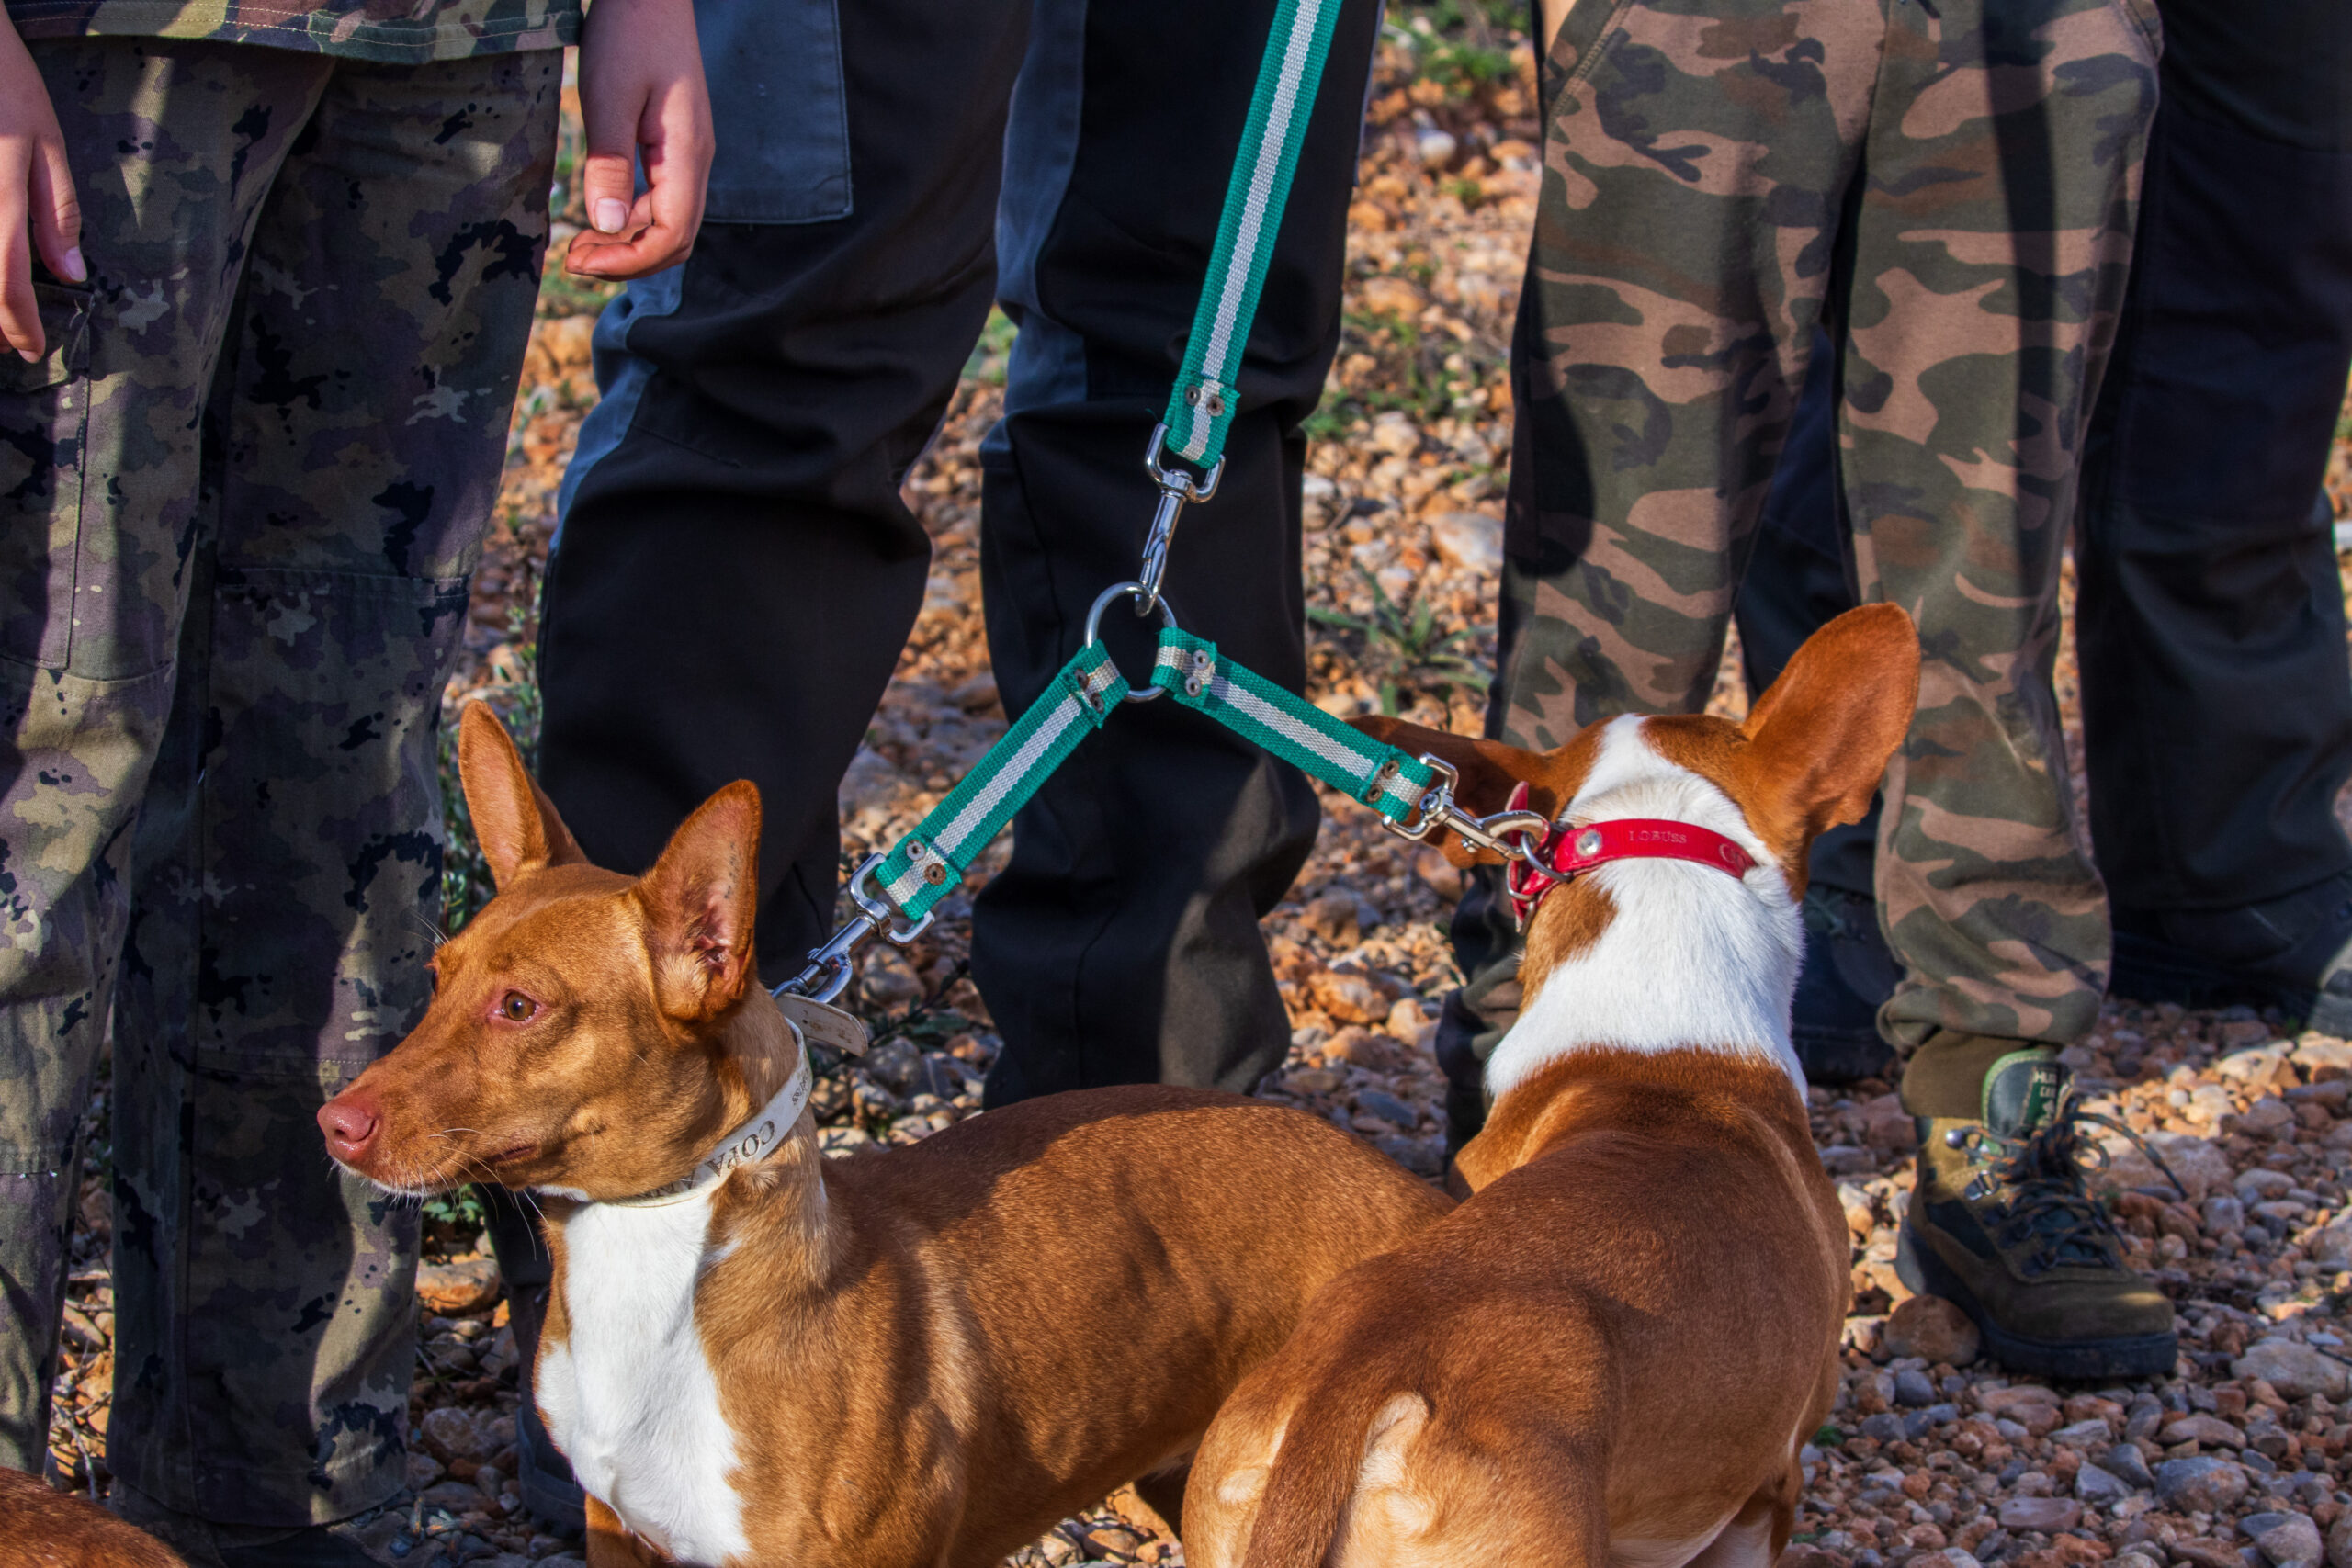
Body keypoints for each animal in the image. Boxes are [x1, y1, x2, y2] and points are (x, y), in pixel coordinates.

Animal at [312, 709, 1448, 1568]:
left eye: (520, 1007)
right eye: (437, 978)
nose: (334, 1121)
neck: (655, 1270)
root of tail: (1421, 1202)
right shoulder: (618, 1538)